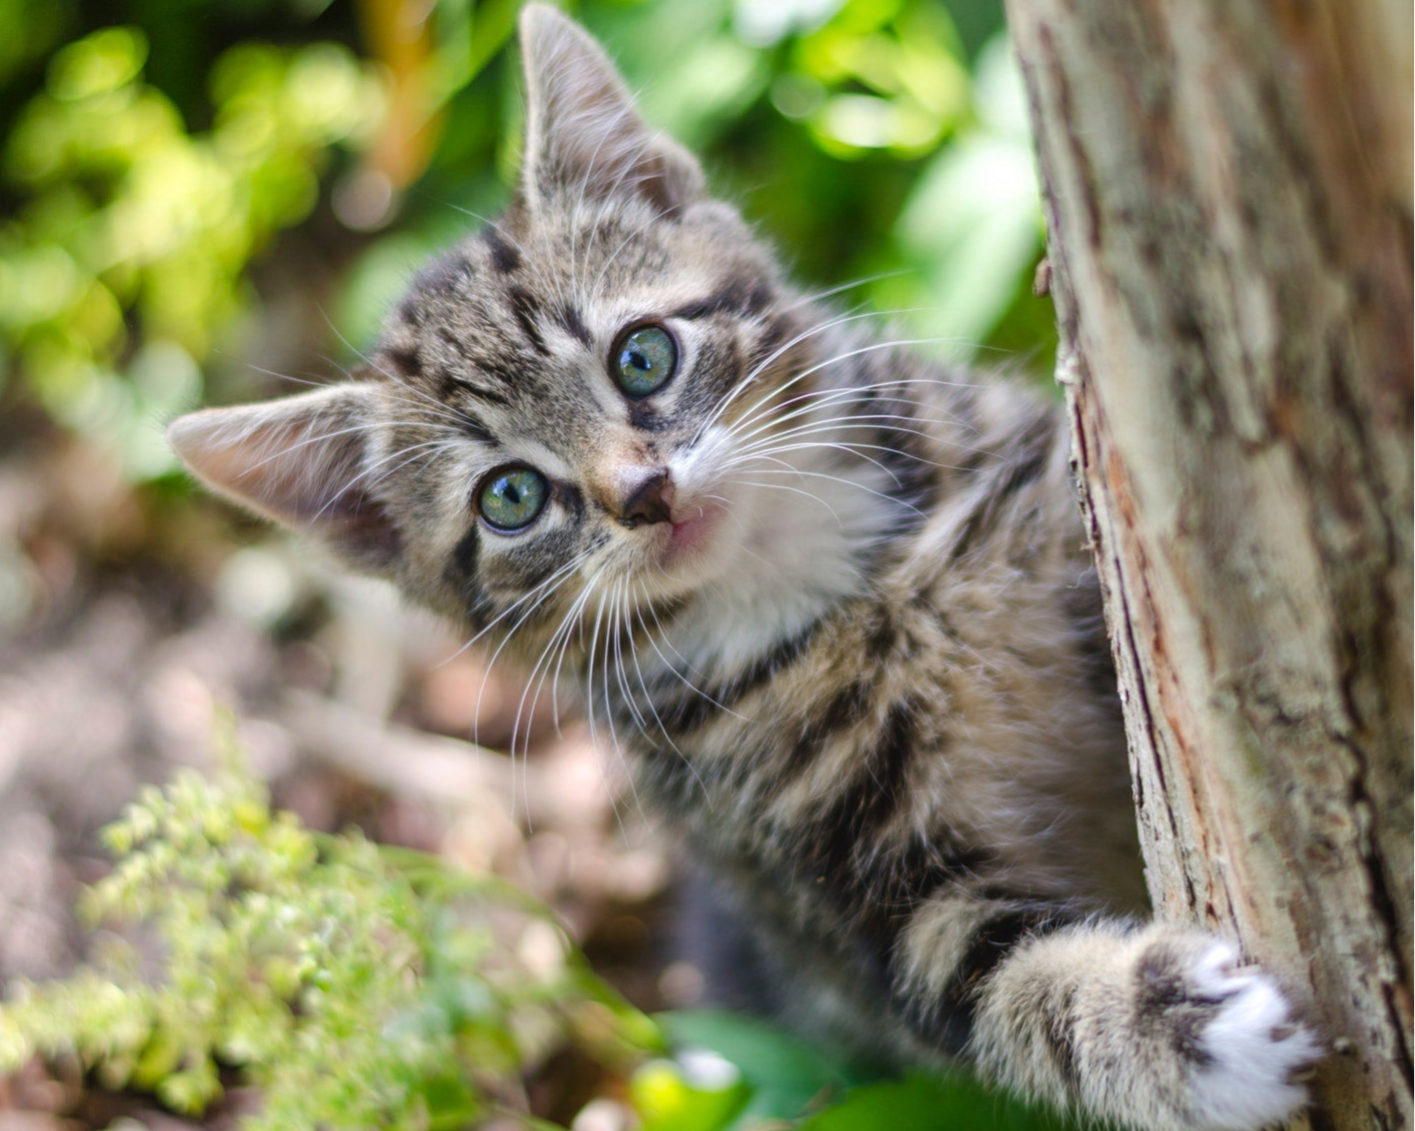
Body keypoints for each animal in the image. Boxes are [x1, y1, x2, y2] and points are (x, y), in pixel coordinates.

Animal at [167, 6, 1321, 1129]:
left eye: (641, 356)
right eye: (511, 498)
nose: (642, 492)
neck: (831, 589)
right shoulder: (840, 897)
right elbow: (1001, 993)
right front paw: (1171, 1025)